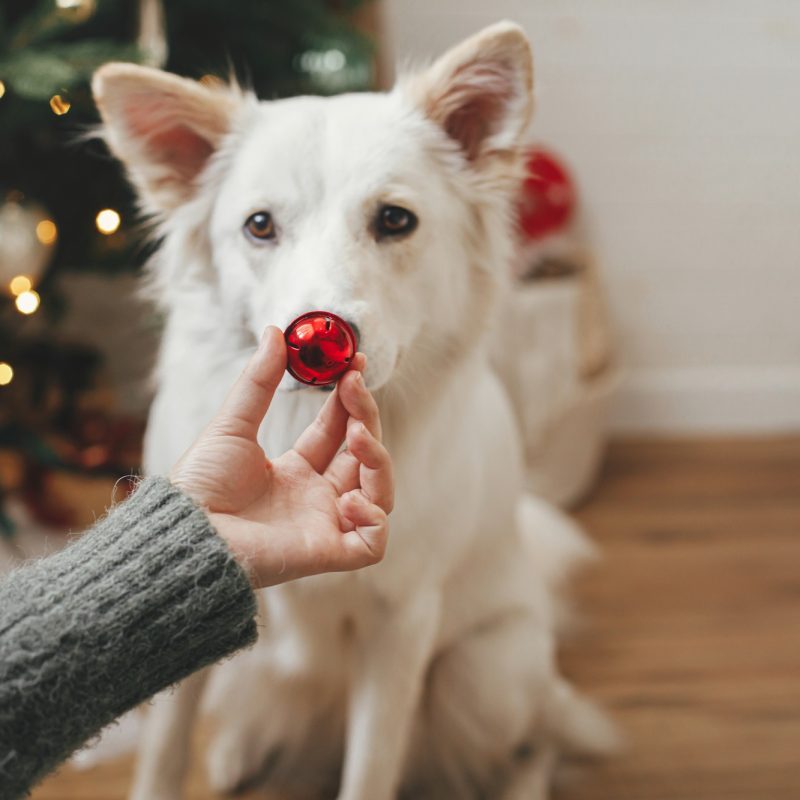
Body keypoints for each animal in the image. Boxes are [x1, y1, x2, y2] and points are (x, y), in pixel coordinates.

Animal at [94, 20, 616, 800]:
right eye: (258, 225)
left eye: (395, 219)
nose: (318, 335)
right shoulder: (188, 612)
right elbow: (162, 753)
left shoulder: (402, 624)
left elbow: (370, 767)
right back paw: (240, 753)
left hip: (482, 675)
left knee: (533, 746)